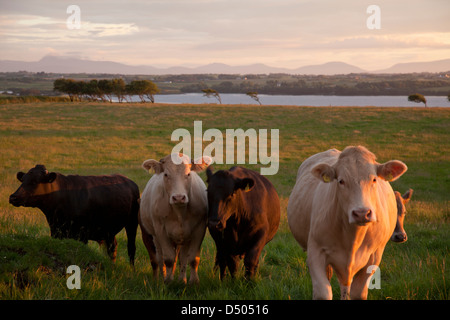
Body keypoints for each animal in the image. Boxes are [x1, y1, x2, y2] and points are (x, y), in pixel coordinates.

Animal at [8, 165, 139, 264]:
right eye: (23, 180)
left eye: (34, 181)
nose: (13, 197)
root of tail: (130, 182)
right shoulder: (56, 231)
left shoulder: (82, 235)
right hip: (108, 230)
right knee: (112, 248)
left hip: (132, 223)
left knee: (131, 248)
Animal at [139, 154, 211, 284]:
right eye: (166, 174)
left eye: (188, 174)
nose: (178, 197)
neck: (179, 212)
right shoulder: (160, 230)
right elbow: (168, 259)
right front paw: (168, 281)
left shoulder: (199, 229)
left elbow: (193, 258)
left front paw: (193, 282)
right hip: (155, 237)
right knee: (160, 258)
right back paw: (163, 276)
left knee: (182, 258)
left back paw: (182, 279)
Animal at [288, 146, 408, 298]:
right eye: (341, 181)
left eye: (374, 179)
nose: (362, 213)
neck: (353, 236)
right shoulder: (315, 253)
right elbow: (323, 292)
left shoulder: (374, 257)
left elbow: (358, 292)